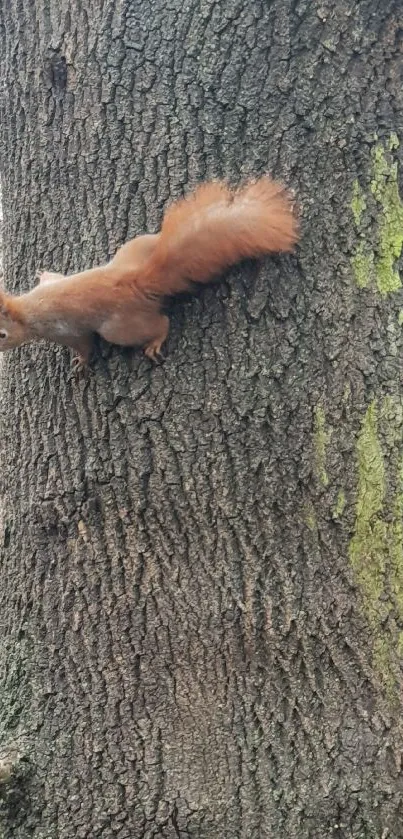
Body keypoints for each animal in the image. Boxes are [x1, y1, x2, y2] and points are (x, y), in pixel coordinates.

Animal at [0, 177, 298, 370]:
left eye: (2, 335)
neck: (26, 309)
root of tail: (136, 280)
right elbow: (52, 276)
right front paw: (42, 271)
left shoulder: (61, 329)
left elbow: (84, 345)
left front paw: (81, 364)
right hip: (134, 248)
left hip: (119, 328)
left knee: (159, 323)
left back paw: (156, 341)